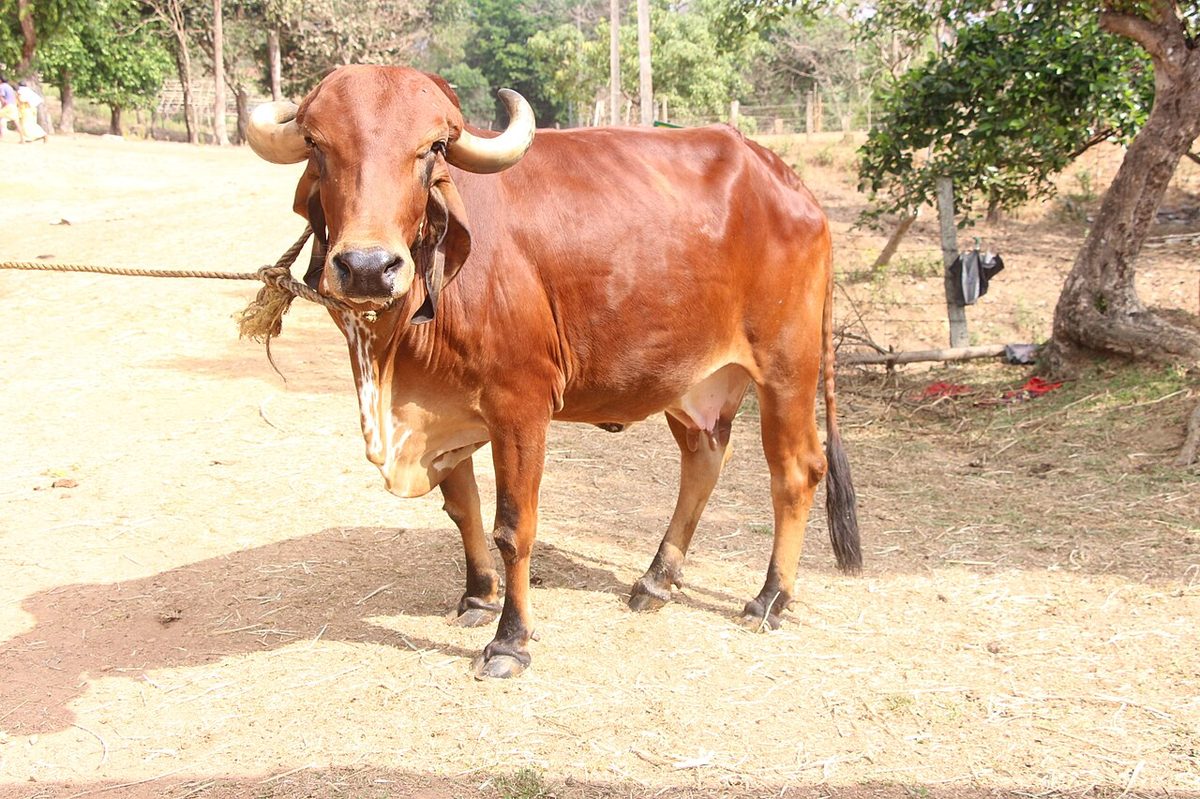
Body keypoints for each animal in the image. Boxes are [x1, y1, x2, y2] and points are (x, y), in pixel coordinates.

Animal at [246, 65, 860, 679]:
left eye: (432, 149)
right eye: (317, 145)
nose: (368, 268)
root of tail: (789, 183)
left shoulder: (520, 407)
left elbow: (513, 528)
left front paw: (510, 641)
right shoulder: (444, 409)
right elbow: (463, 509)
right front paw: (477, 597)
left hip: (787, 369)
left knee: (797, 471)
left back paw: (770, 598)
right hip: (693, 383)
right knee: (704, 461)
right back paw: (656, 581)